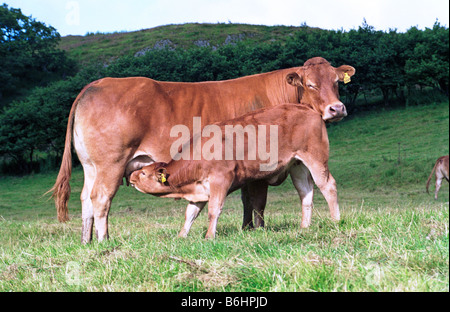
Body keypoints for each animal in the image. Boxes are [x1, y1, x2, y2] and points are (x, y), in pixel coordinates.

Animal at [128, 104, 340, 239]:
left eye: (144, 173)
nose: (130, 176)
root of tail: (309, 110)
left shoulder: (220, 180)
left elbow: (214, 210)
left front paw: (209, 236)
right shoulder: (200, 191)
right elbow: (190, 214)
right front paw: (181, 236)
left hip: (316, 157)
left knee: (328, 185)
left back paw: (336, 221)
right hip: (297, 165)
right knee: (305, 192)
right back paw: (304, 227)